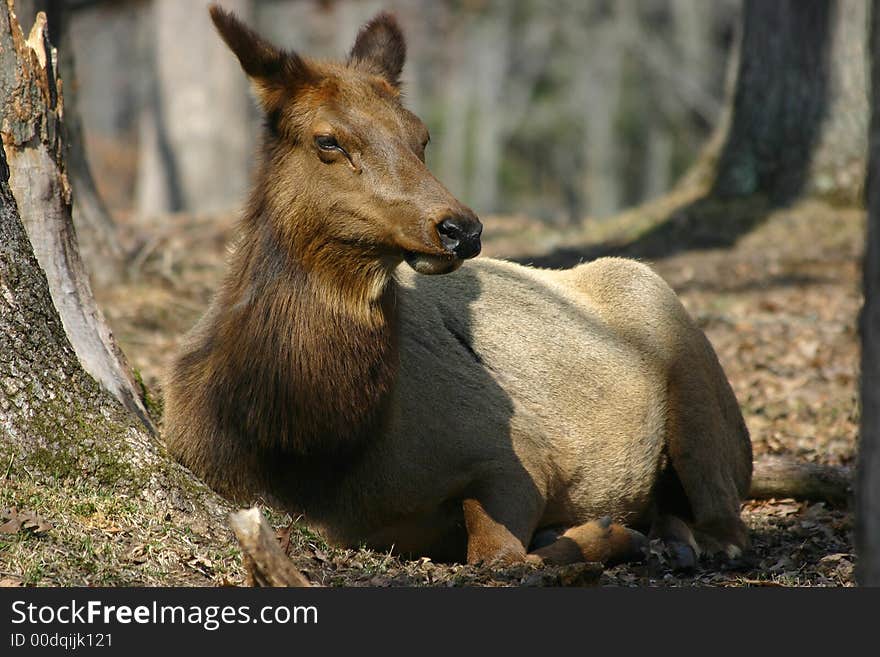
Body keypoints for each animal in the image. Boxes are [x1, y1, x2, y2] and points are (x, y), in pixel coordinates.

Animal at [167, 5, 756, 568]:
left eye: (421, 136)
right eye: (328, 140)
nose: (461, 229)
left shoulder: (516, 452)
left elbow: (500, 557)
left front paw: (604, 534)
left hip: (698, 386)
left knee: (723, 513)